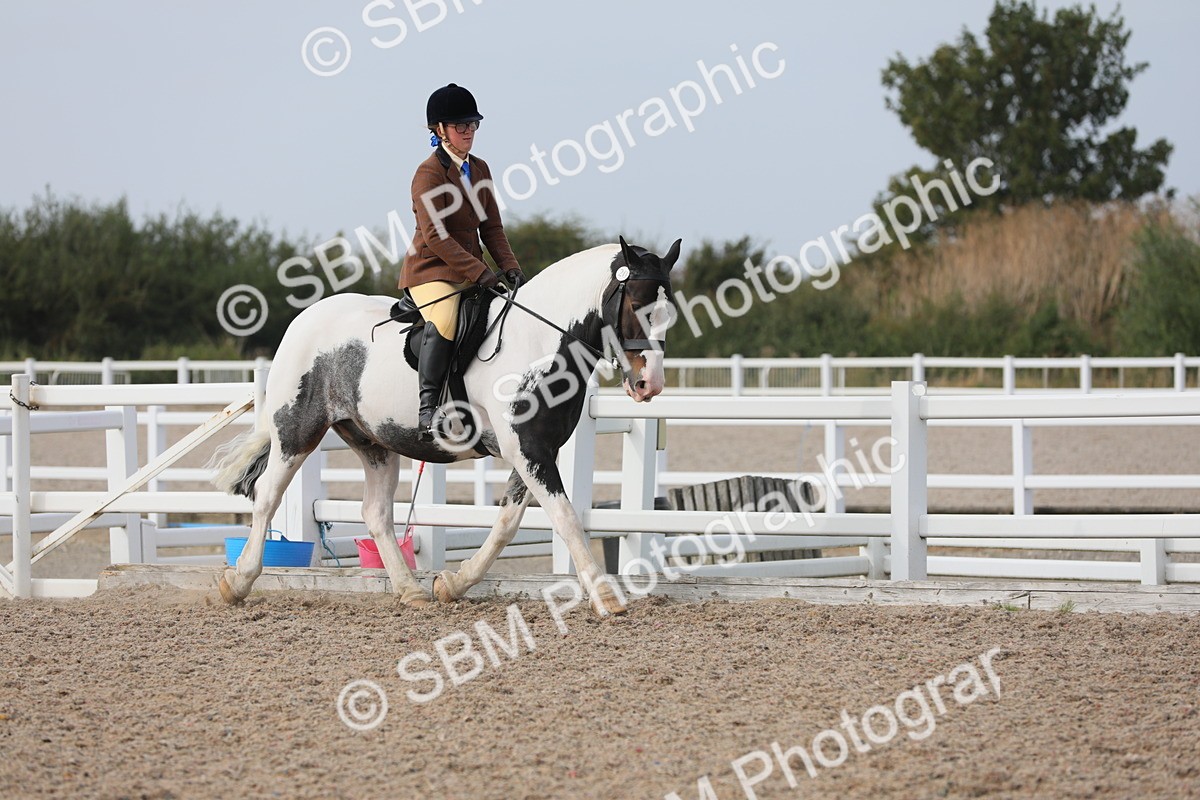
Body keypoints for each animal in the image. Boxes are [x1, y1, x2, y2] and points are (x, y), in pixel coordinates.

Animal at [210, 237, 681, 615]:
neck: (540, 344)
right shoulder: (528, 448)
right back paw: (238, 581)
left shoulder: (534, 450)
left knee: (376, 513)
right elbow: (565, 518)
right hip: (296, 432)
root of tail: (304, 318)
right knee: (267, 496)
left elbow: (508, 523)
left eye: (667, 314)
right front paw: (607, 598)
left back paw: (410, 591)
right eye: (636, 306)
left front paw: (453, 584)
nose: (650, 384)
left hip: (374, 442)